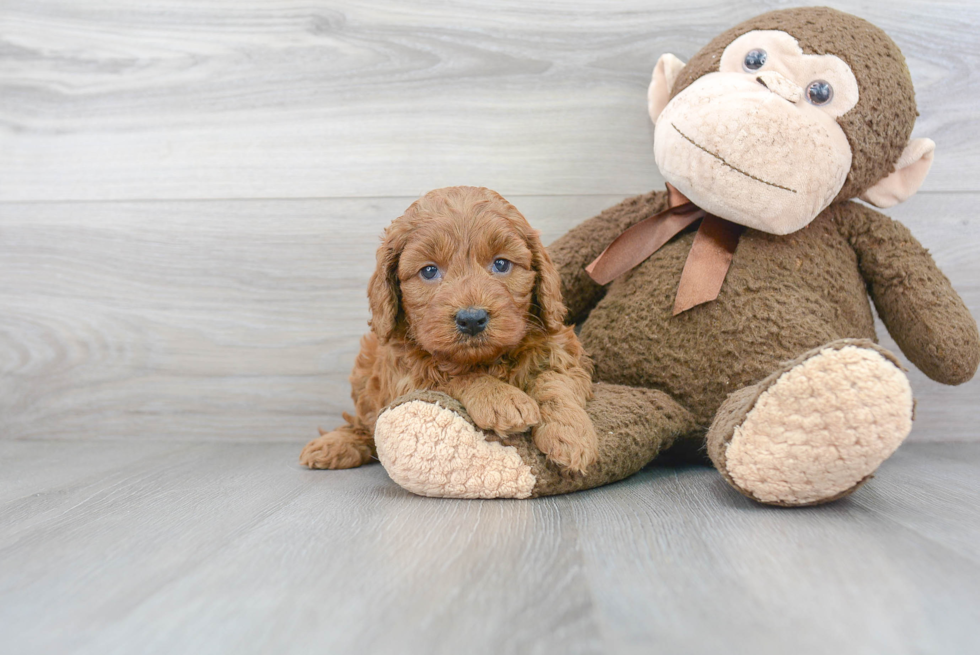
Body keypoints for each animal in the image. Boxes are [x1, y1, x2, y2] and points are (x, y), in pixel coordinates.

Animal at [298, 187, 596, 474]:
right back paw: (335, 444)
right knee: (364, 424)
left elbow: (555, 382)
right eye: (429, 271)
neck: (485, 360)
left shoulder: (561, 349)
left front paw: (570, 434)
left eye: (501, 264)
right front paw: (499, 398)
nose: (472, 319)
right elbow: (451, 376)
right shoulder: (406, 377)